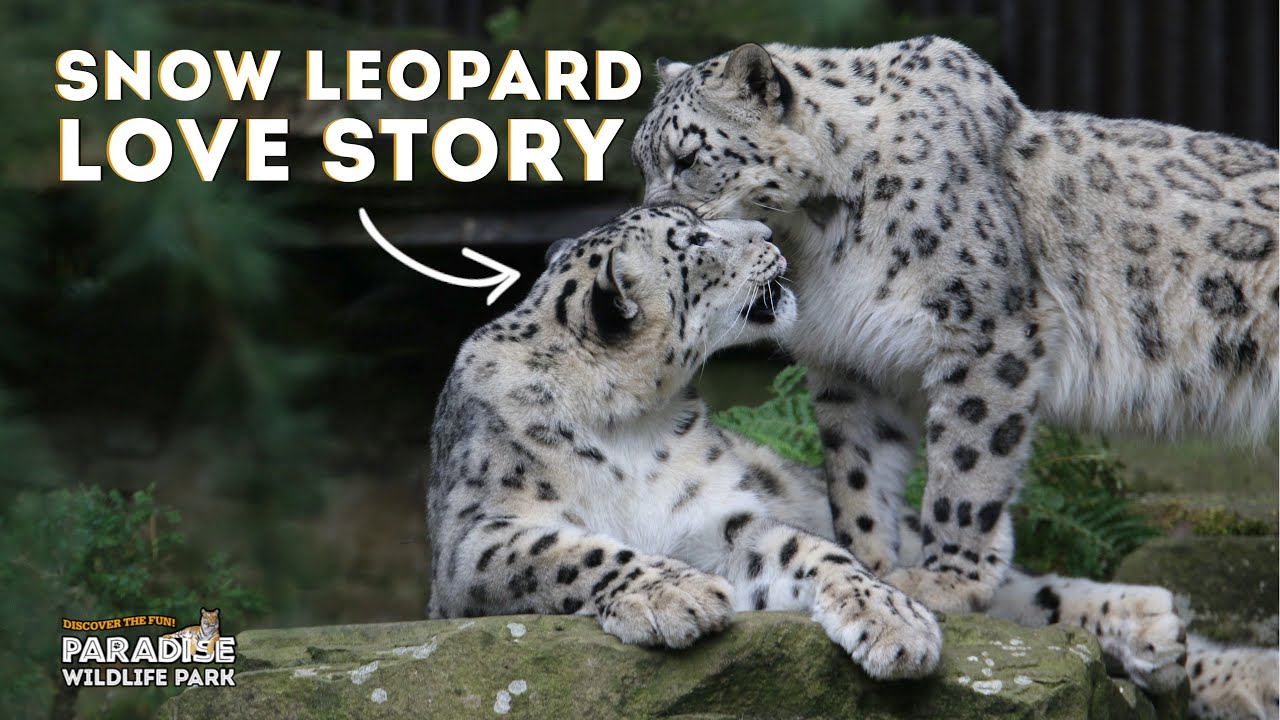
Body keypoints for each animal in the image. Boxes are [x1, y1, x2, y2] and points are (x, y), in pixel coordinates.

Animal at [425, 205, 1264, 708]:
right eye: (697, 244)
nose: (767, 237)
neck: (632, 422)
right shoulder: (476, 540)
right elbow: (578, 552)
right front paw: (675, 594)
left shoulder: (722, 520)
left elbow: (813, 552)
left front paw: (890, 622)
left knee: (1010, 587)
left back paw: (1174, 634)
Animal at [631, 37, 1278, 625]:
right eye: (641, 160)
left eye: (686, 158)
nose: (653, 215)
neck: (819, 234)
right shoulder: (852, 358)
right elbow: (856, 469)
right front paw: (870, 565)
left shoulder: (985, 330)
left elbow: (966, 463)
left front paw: (947, 581)